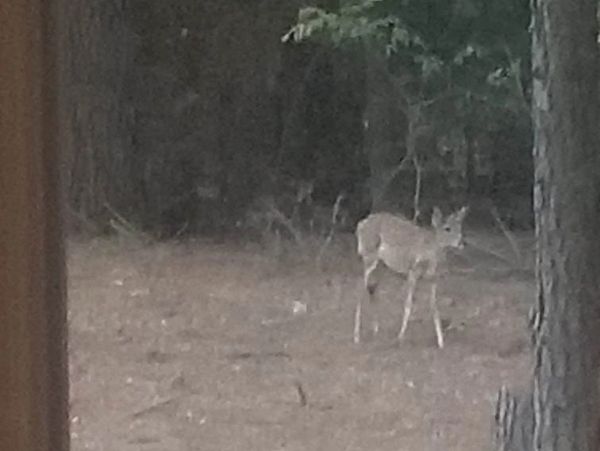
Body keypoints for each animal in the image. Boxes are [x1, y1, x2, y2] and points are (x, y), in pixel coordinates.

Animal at [354, 207, 466, 348]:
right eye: (447, 228)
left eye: (460, 227)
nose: (462, 243)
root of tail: (361, 224)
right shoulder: (413, 271)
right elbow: (408, 304)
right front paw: (400, 337)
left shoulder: (433, 278)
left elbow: (434, 306)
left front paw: (441, 342)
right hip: (369, 255)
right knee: (360, 288)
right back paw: (357, 336)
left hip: (381, 264)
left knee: (372, 288)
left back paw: (375, 328)